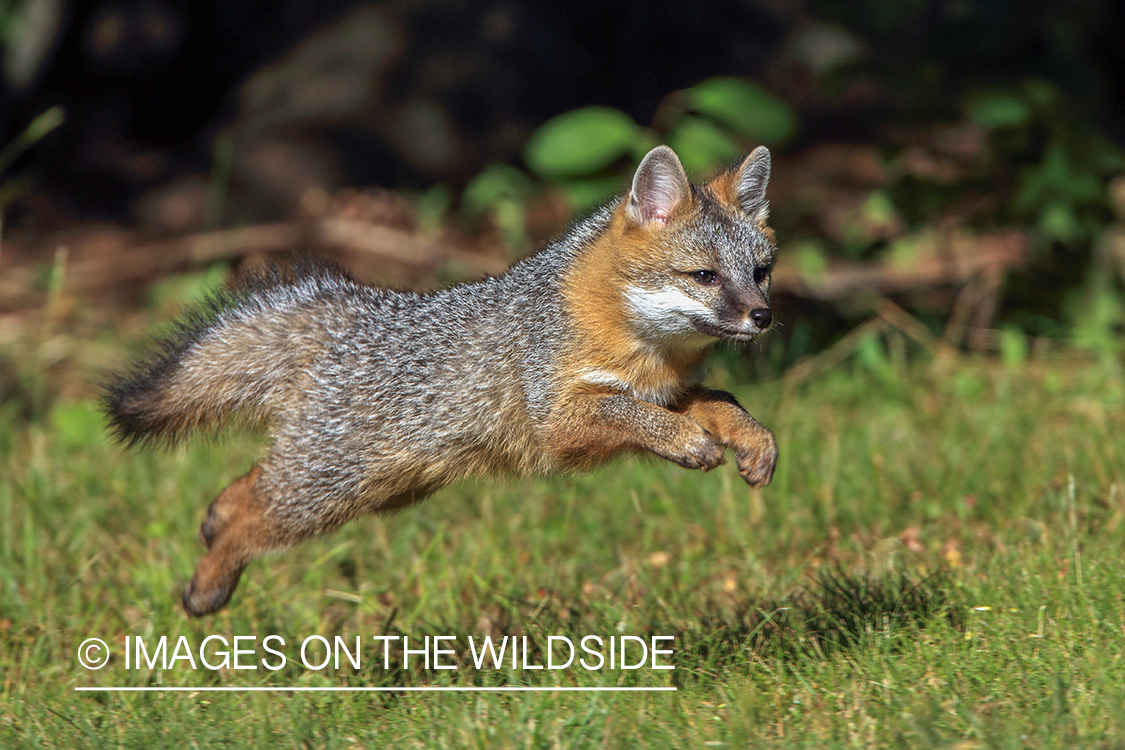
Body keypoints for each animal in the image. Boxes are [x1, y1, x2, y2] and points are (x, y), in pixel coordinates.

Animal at [104, 144, 779, 617]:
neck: (640, 349)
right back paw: (206, 585)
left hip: (373, 489)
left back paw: (213, 520)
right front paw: (686, 443)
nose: (764, 317)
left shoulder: (667, 391)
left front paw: (752, 441)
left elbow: (718, 399)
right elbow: (631, 414)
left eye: (761, 272)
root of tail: (356, 308)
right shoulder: (561, 419)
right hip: (327, 491)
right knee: (254, 516)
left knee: (246, 489)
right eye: (705, 276)